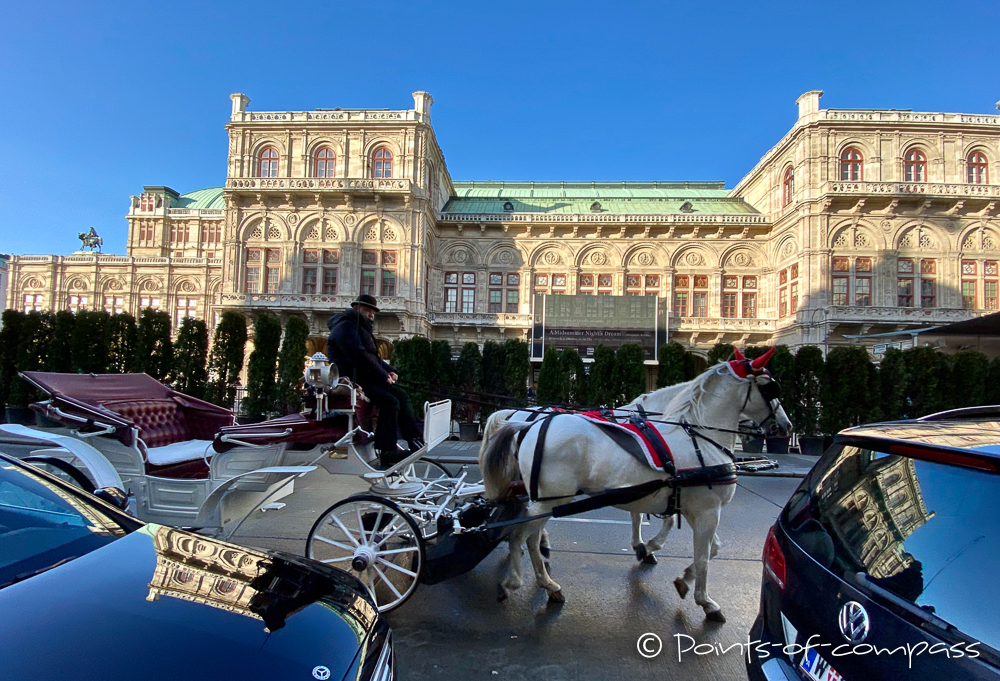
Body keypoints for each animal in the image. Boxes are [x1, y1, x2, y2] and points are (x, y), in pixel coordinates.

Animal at [478, 350, 788, 620]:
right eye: (772, 388)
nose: (785, 426)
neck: (698, 438)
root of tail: (527, 424)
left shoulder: (688, 506)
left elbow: (711, 548)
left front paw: (676, 574)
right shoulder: (707, 511)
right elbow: (702, 556)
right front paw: (705, 601)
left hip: (542, 497)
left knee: (527, 531)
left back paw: (546, 579)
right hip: (550, 499)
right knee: (524, 534)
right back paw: (522, 578)